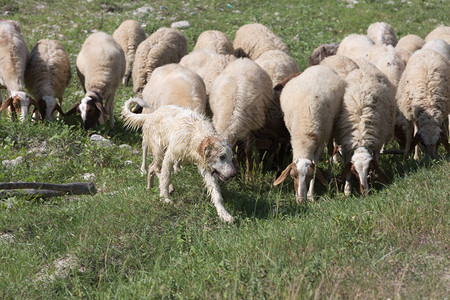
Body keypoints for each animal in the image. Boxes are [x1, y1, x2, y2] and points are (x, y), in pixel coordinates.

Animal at [272, 65, 346, 202]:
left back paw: (329, 174)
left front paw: (311, 194)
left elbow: (316, 165)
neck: (304, 136)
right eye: (293, 176)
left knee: (330, 150)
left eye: (309, 176)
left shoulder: (321, 142)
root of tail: (320, 66)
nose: (301, 200)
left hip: (331, 129)